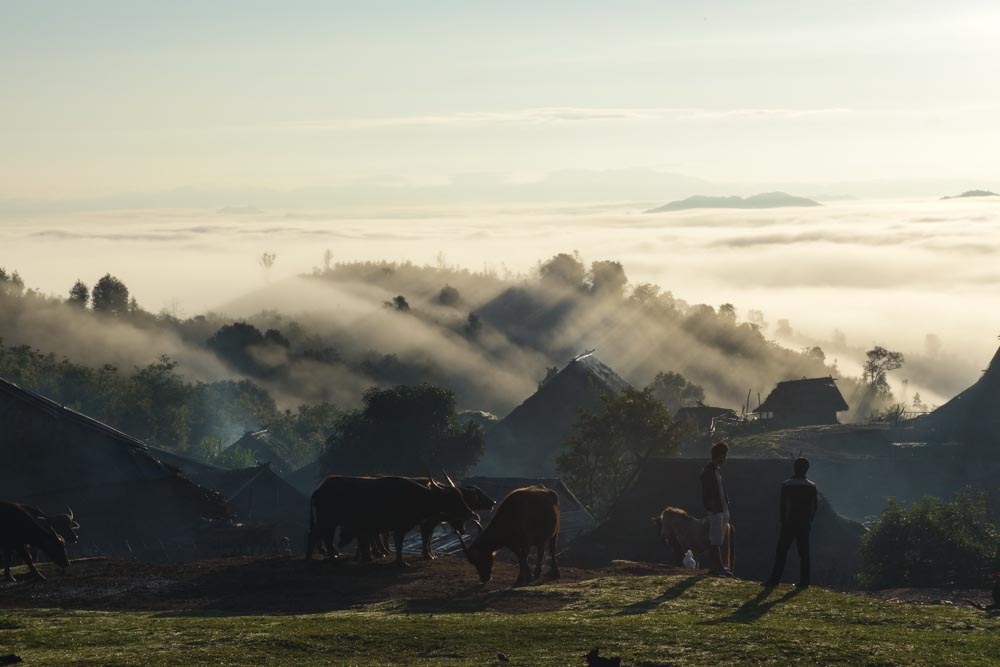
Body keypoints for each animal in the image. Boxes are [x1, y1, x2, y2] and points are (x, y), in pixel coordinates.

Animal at [304, 472, 480, 568]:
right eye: (454, 499)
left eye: (461, 496)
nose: (471, 513)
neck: (419, 497)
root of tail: (319, 489)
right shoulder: (399, 527)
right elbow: (399, 543)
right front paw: (401, 562)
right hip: (327, 519)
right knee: (315, 535)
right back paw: (310, 559)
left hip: (330, 521)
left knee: (325, 537)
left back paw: (332, 557)